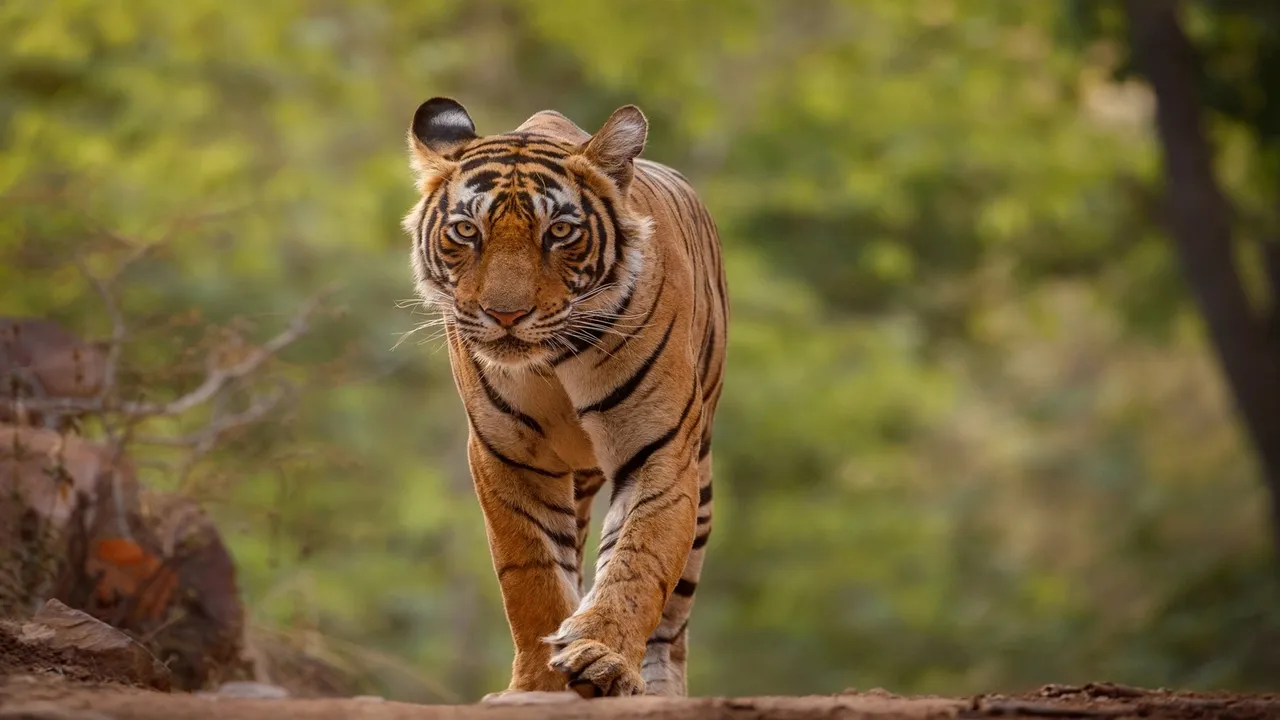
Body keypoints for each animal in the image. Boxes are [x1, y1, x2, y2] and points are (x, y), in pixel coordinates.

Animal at [401, 97, 728, 699]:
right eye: (466, 230)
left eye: (558, 232)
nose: (505, 315)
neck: (553, 361)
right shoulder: (508, 457)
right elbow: (532, 576)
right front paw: (536, 684)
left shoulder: (660, 448)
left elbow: (638, 560)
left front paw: (602, 658)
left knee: (673, 620)